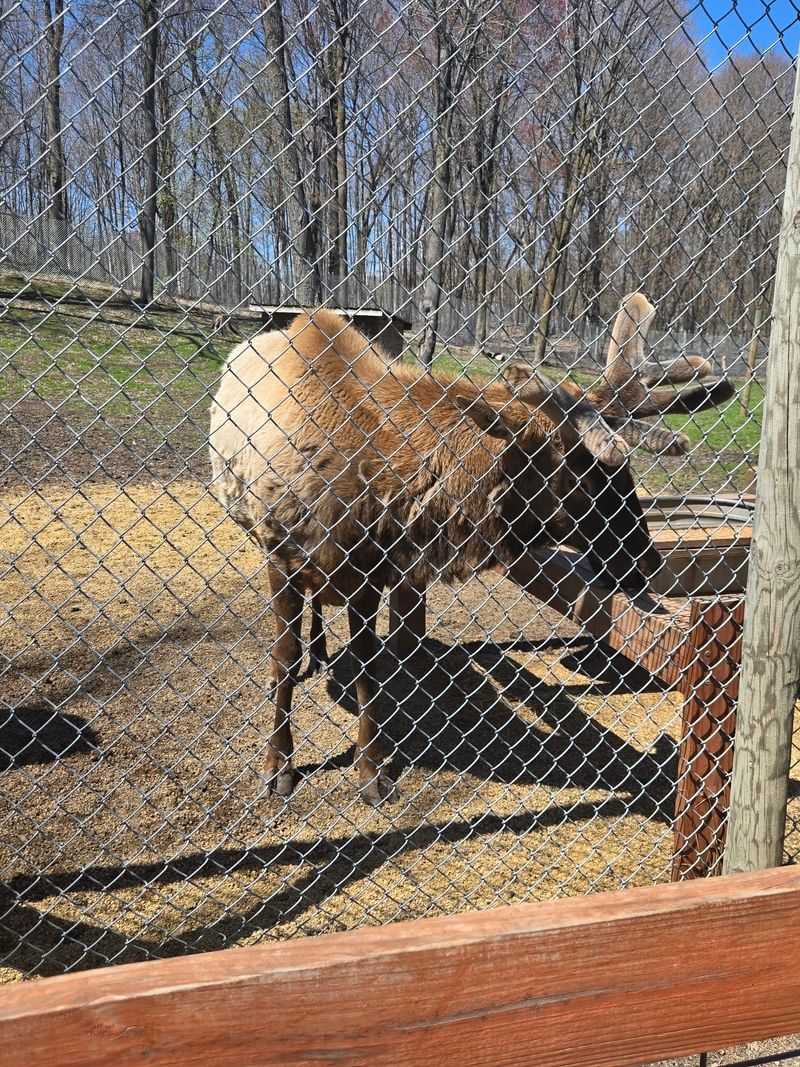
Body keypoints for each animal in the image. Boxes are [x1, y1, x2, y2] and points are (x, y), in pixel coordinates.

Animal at [209, 293, 734, 805]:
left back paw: (320, 652)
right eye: (585, 469)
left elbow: (367, 667)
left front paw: (371, 769)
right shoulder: (279, 553)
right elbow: (282, 658)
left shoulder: (371, 571)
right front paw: (279, 766)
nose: (648, 559)